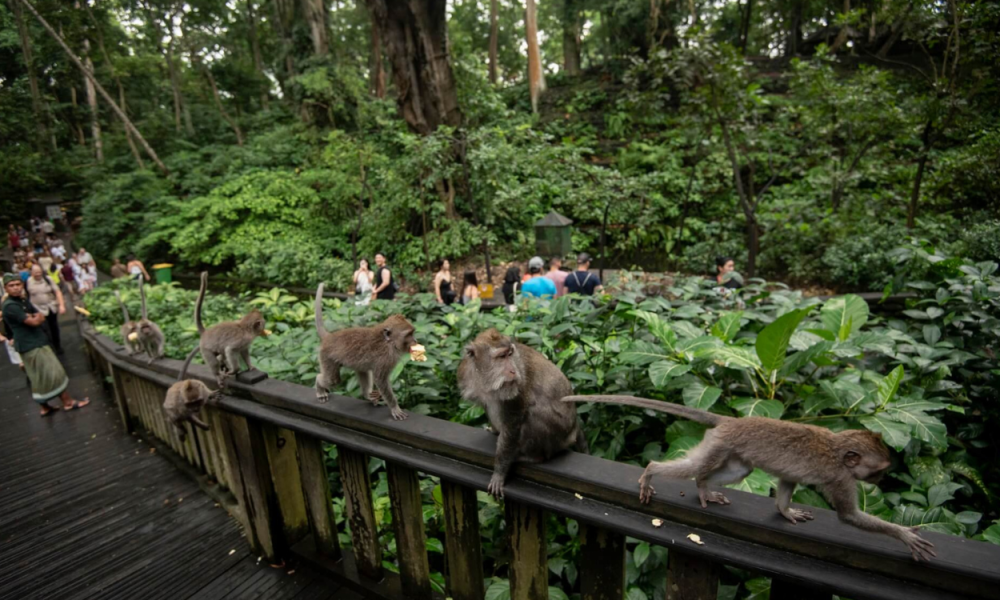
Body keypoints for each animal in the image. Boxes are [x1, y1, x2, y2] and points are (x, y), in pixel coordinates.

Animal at [313, 283, 416, 420]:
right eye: (408, 335)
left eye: (412, 333)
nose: (415, 340)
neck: (388, 343)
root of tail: (329, 337)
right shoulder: (385, 358)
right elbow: (381, 380)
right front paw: (395, 407)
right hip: (326, 357)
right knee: (332, 380)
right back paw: (319, 386)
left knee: (362, 370)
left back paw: (367, 395)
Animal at [458, 329, 589, 499]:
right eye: (501, 356)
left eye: (510, 354)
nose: (513, 371)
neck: (483, 378)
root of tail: (574, 427)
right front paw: (494, 430)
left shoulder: (517, 389)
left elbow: (512, 425)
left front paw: (499, 473)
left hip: (560, 434)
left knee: (532, 415)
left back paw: (533, 457)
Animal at [561, 394, 937, 562]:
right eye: (879, 471)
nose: (880, 483)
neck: (837, 449)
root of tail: (732, 421)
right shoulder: (839, 478)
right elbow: (849, 516)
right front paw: (904, 535)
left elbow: (786, 485)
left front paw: (786, 511)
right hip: (718, 444)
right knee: (693, 468)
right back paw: (654, 472)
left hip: (727, 448)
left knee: (739, 471)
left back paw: (704, 488)